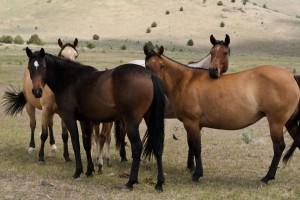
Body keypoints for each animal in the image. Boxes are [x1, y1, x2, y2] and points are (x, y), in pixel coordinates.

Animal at [25, 47, 166, 191]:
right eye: (30, 67)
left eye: (43, 67)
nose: (37, 91)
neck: (69, 79)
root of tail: (149, 75)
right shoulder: (84, 120)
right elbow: (86, 144)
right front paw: (89, 170)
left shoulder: (69, 117)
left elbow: (76, 143)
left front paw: (78, 172)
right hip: (150, 119)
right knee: (158, 146)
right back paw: (159, 183)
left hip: (131, 122)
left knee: (137, 147)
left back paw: (130, 182)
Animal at [142, 45, 300, 184]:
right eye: (147, 66)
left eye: (161, 65)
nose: (156, 84)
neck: (185, 81)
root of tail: (291, 76)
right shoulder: (194, 125)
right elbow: (193, 146)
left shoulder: (191, 122)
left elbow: (197, 147)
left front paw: (197, 174)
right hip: (289, 122)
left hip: (276, 123)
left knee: (279, 147)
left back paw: (267, 177)